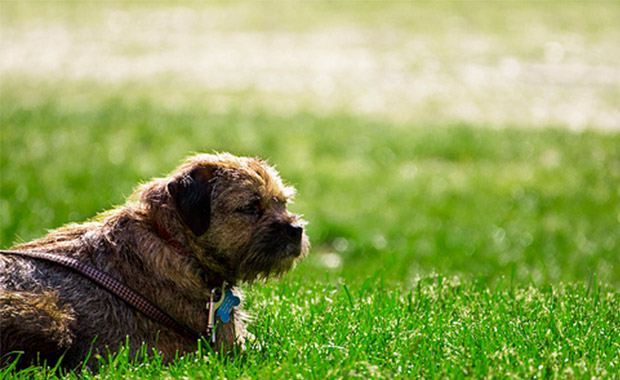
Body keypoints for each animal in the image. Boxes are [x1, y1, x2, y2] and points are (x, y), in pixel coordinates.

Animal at [0, 153, 310, 370]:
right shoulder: (227, 346)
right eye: (251, 207)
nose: (296, 229)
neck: (175, 242)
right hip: (53, 316)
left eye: (282, 203)